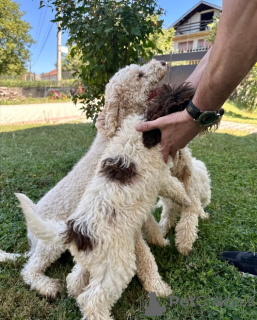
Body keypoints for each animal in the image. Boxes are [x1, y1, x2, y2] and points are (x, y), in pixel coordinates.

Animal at [1, 59, 170, 298]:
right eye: (139, 75)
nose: (163, 61)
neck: (116, 133)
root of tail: (30, 239)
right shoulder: (123, 221)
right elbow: (144, 255)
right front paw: (156, 285)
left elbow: (152, 225)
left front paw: (161, 240)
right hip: (51, 244)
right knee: (28, 269)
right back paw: (47, 286)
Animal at [18, 110, 190, 320]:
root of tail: (75, 232)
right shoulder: (160, 176)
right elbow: (175, 187)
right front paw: (187, 200)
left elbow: (151, 224)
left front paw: (161, 240)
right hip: (112, 265)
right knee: (88, 299)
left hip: (95, 260)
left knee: (74, 280)